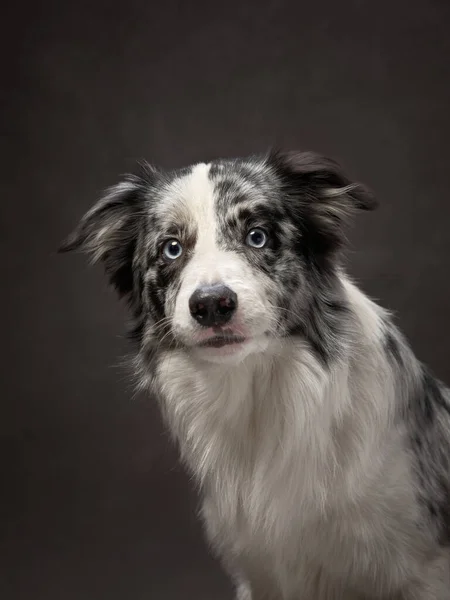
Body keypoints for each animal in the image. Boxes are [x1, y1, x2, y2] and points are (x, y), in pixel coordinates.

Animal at [60, 151, 450, 600]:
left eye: (257, 237)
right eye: (172, 248)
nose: (211, 305)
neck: (260, 396)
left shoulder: (420, 570)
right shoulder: (260, 572)